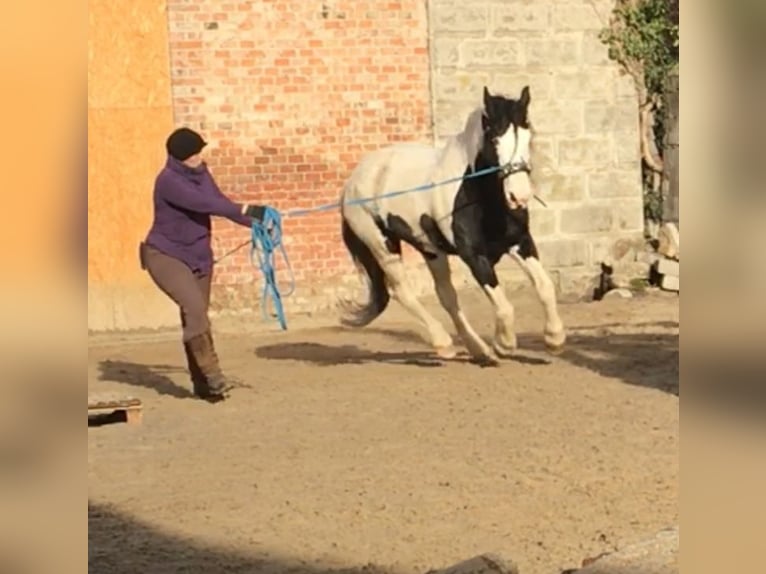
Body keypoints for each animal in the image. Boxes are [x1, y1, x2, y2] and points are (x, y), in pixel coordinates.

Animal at [337, 86, 566, 366]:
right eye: (494, 139)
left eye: (528, 135)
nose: (519, 196)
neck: (478, 197)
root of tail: (352, 182)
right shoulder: (475, 257)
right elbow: (504, 305)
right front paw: (504, 345)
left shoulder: (521, 244)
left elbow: (545, 287)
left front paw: (554, 340)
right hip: (382, 245)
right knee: (403, 291)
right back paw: (445, 344)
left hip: (431, 250)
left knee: (446, 296)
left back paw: (479, 350)